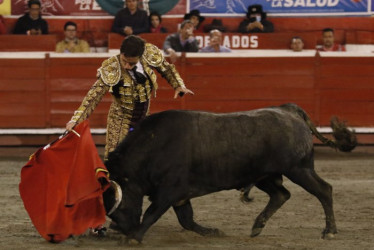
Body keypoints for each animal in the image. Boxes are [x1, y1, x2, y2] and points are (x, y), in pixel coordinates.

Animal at [102, 102, 356, 243]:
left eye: (119, 207)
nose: (122, 230)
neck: (154, 147)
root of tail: (289, 110)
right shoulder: (180, 195)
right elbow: (187, 220)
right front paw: (213, 232)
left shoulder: (169, 191)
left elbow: (152, 213)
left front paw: (135, 238)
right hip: (265, 176)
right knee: (281, 195)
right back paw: (257, 227)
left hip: (299, 169)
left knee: (324, 190)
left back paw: (330, 231)